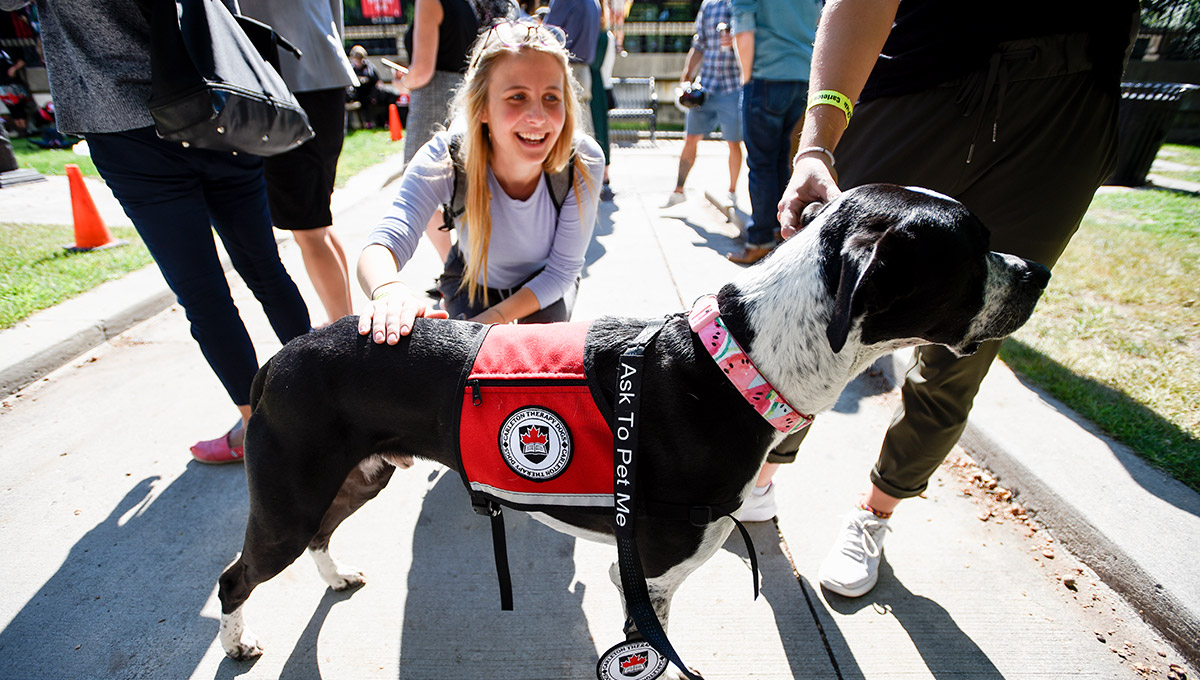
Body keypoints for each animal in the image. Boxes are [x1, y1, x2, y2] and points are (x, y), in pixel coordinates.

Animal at [216, 184, 1051, 666]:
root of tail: (275, 357)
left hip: (355, 479)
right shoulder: (644, 570)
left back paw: (334, 576)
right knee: (234, 578)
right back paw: (240, 640)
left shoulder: (655, 578)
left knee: (320, 535)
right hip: (290, 498)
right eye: (973, 247)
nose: (1039, 272)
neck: (739, 363)